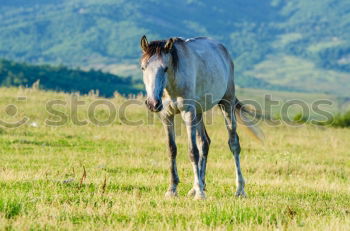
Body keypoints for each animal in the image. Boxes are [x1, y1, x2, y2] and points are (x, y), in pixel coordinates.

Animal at [139, 35, 262, 199]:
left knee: (233, 144)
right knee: (205, 143)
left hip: (226, 104)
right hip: (198, 113)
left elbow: (193, 152)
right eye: (143, 68)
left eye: (165, 68)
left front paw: (199, 193)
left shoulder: (188, 113)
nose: (153, 103)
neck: (173, 83)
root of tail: (222, 50)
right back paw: (198, 187)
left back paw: (239, 189)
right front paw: (172, 189)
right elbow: (172, 150)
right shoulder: (166, 116)